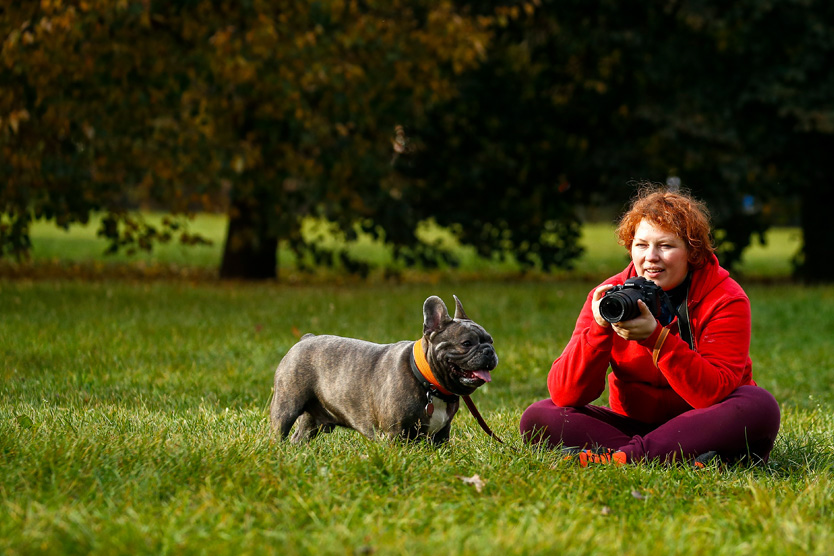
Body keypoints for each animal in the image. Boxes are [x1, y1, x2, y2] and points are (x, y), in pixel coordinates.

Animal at [270, 298, 498, 446]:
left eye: (491, 340)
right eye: (466, 343)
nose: (489, 351)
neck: (429, 383)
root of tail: (305, 338)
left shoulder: (440, 436)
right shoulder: (394, 435)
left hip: (312, 420)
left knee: (299, 438)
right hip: (286, 405)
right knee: (280, 431)